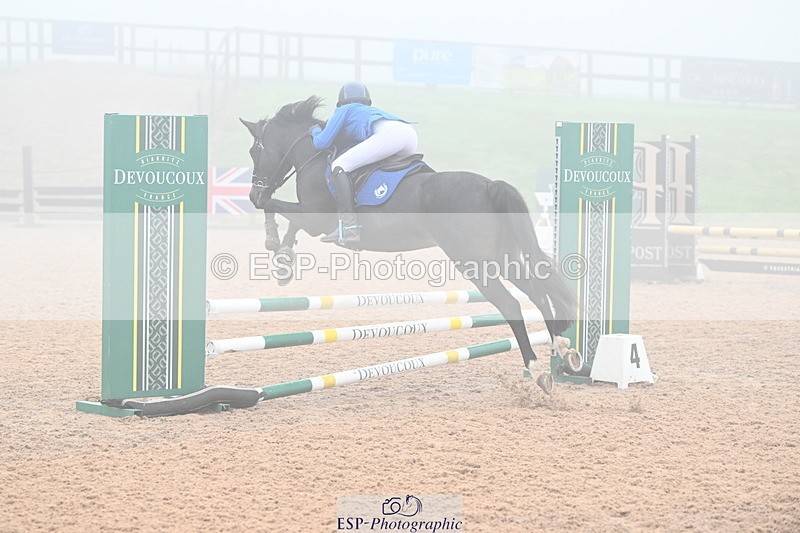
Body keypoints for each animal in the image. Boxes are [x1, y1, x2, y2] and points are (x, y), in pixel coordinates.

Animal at [240, 96, 580, 393]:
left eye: (255, 150)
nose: (252, 195)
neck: (314, 157)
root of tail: (490, 186)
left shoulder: (315, 219)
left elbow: (277, 207)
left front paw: (275, 245)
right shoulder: (312, 220)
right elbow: (287, 219)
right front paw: (283, 259)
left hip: (475, 263)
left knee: (510, 305)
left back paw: (536, 369)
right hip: (502, 256)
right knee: (536, 291)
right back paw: (562, 348)